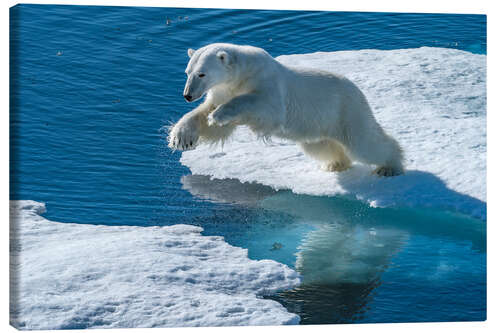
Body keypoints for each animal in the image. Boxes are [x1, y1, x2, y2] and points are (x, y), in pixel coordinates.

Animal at [170, 43, 404, 176]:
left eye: (202, 74)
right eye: (187, 72)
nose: (187, 95)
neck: (242, 74)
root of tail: (358, 91)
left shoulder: (267, 83)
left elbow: (265, 107)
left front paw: (219, 114)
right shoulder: (222, 90)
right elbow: (206, 118)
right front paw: (181, 137)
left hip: (346, 110)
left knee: (365, 144)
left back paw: (389, 167)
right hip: (318, 126)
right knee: (321, 146)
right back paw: (335, 164)